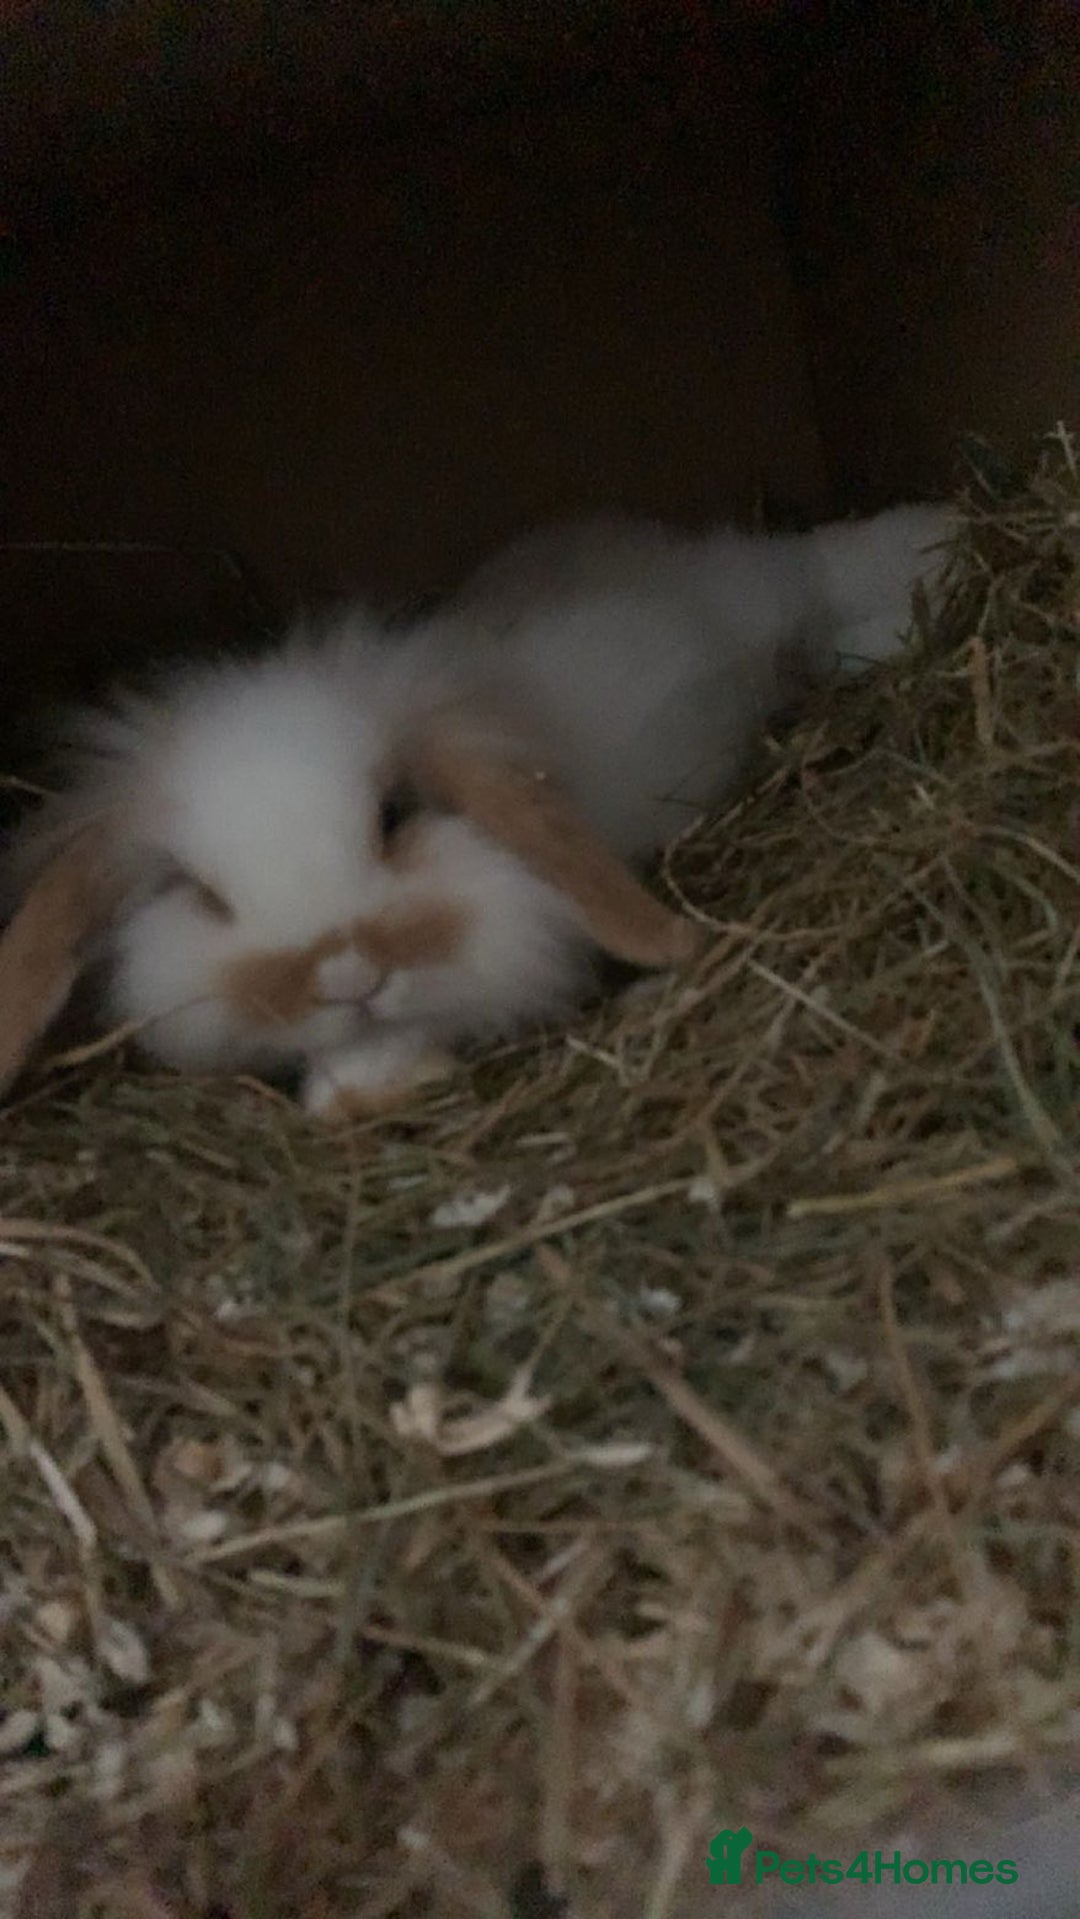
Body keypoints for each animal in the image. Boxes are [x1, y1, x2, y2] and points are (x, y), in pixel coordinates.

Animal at [0, 503, 950, 1120]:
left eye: (394, 815)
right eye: (201, 894)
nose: (347, 977)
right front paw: (356, 1089)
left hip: (766, 599)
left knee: (817, 577)